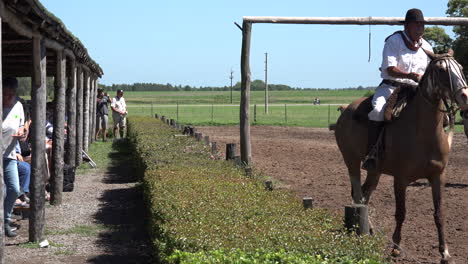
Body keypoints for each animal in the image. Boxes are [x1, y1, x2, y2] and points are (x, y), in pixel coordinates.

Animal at [334, 52, 468, 264]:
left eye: (461, 68)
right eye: (441, 70)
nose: (465, 96)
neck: (423, 133)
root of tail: (346, 109)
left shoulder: (438, 177)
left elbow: (439, 214)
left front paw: (444, 252)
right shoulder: (401, 179)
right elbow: (401, 213)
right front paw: (396, 248)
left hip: (374, 171)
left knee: (365, 195)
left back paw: (369, 229)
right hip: (351, 162)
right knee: (357, 195)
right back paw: (361, 231)